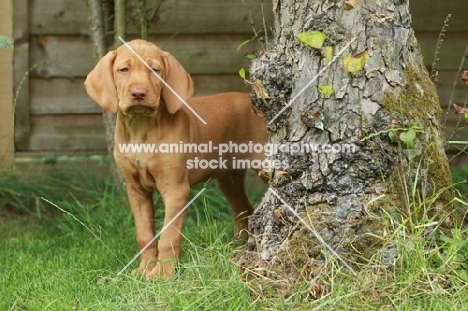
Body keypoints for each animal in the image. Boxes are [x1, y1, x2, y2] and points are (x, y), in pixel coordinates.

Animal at [84, 39, 266, 280]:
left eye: (155, 70)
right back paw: (238, 246)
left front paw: (163, 273)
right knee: (244, 209)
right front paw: (144, 269)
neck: (141, 129)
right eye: (123, 70)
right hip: (229, 178)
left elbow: (168, 234)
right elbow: (144, 234)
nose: (139, 93)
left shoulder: (175, 190)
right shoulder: (136, 189)